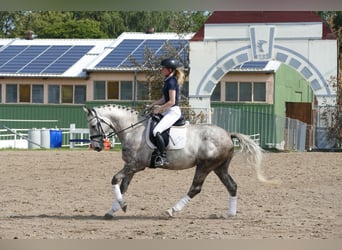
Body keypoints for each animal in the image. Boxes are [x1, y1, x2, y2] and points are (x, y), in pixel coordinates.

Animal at [83, 104, 272, 219]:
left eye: (92, 125)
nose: (97, 147)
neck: (133, 129)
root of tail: (227, 134)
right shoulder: (131, 166)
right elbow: (123, 187)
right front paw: (114, 210)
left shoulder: (135, 166)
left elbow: (114, 179)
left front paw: (121, 206)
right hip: (219, 167)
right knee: (232, 186)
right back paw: (229, 214)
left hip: (205, 165)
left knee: (195, 188)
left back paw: (171, 210)